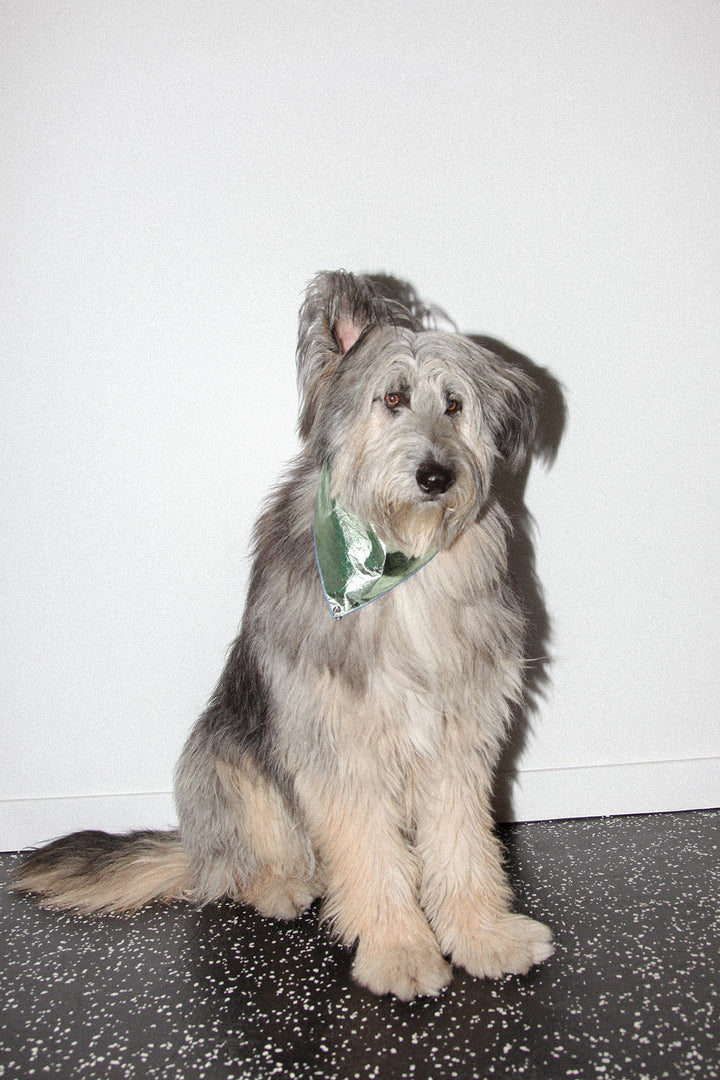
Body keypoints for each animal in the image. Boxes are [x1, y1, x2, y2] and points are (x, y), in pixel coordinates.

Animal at [14, 274, 557, 997]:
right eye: (392, 397)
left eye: (455, 404)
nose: (437, 475)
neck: (397, 571)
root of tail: (196, 851)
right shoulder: (341, 744)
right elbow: (372, 855)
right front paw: (398, 949)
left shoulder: (458, 737)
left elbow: (465, 847)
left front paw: (483, 934)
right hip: (227, 765)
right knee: (241, 870)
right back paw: (281, 885)